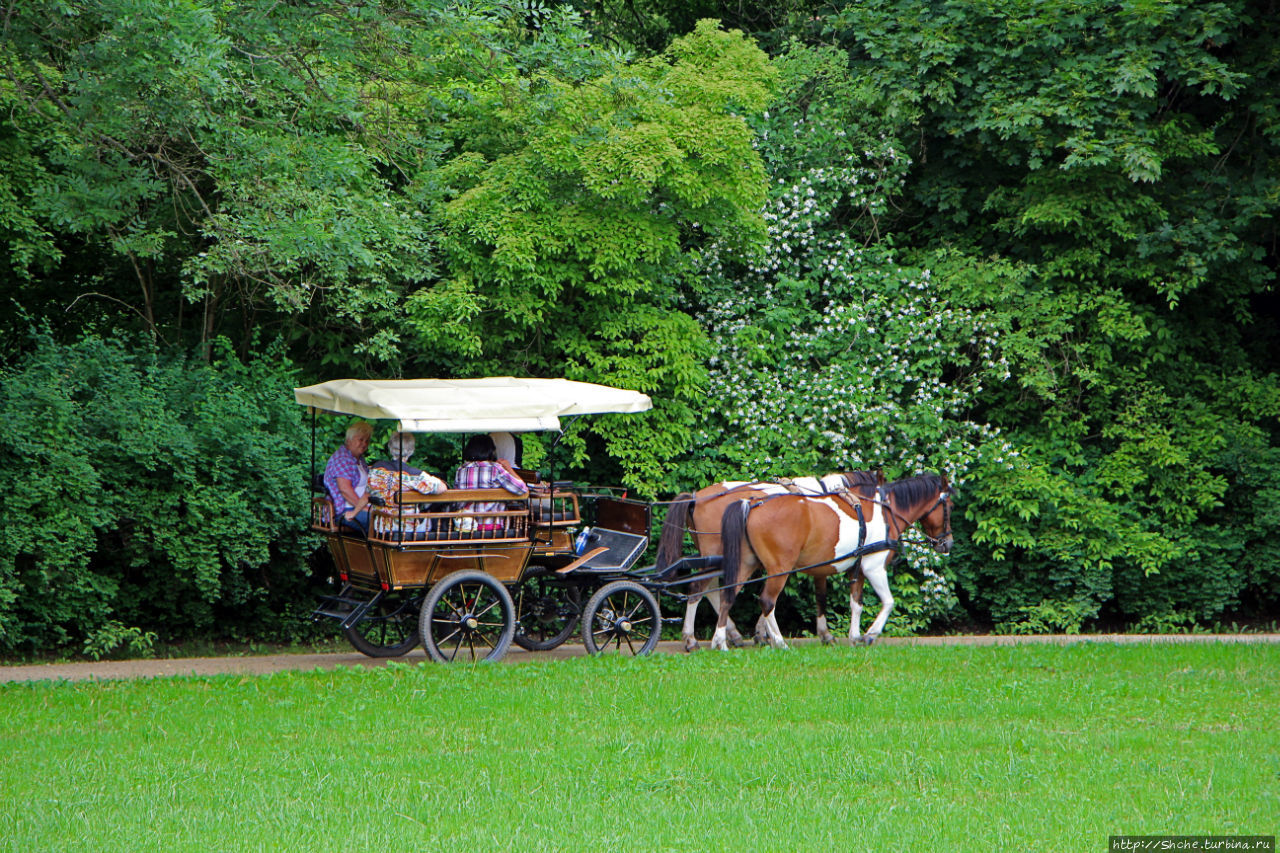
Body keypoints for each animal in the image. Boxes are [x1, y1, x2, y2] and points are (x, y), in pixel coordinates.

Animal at [660, 468, 880, 648]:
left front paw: (762, 632)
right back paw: (692, 638)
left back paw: (731, 633)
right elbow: (814, 595)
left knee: (714, 589)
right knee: (700, 589)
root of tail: (696, 498)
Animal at [716, 468, 957, 648]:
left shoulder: (857, 569)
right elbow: (888, 602)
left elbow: (856, 603)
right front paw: (870, 635)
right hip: (780, 569)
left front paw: (855, 636)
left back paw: (720, 641)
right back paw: (780, 642)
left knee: (727, 595)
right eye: (950, 506)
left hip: (746, 564)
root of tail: (752, 504)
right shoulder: (874, 568)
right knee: (767, 601)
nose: (948, 543)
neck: (886, 512)